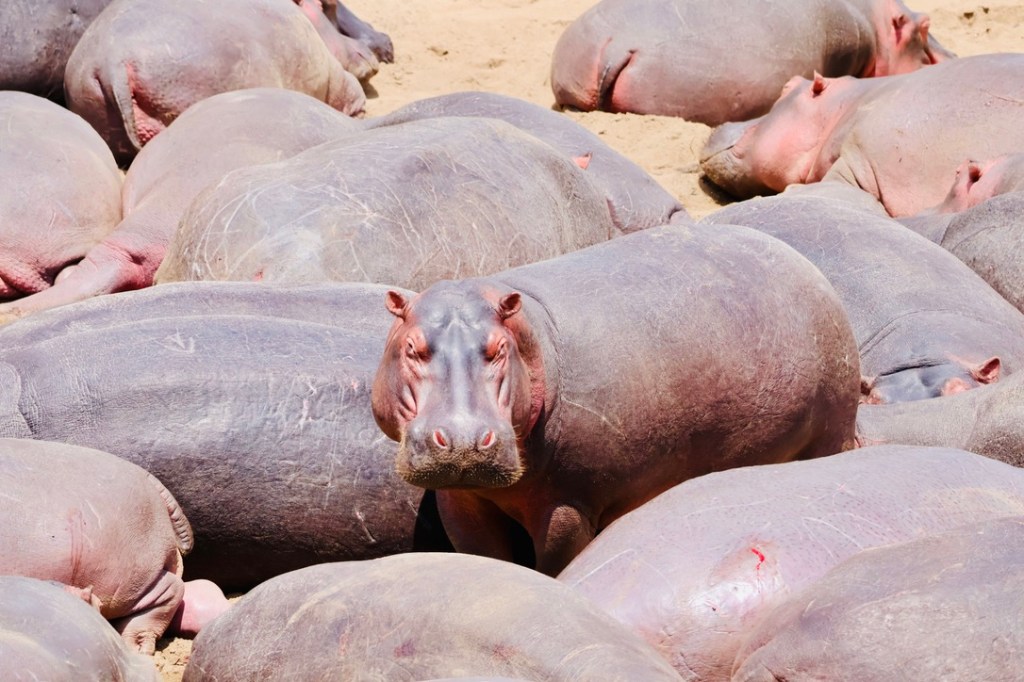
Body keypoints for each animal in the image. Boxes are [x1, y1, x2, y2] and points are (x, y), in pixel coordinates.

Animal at [371, 224, 861, 575]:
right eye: (412, 347)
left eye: (498, 349)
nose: (463, 440)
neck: (533, 338)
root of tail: (805, 264)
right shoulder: (461, 499)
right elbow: (483, 555)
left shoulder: (569, 505)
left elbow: (555, 564)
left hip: (832, 428)